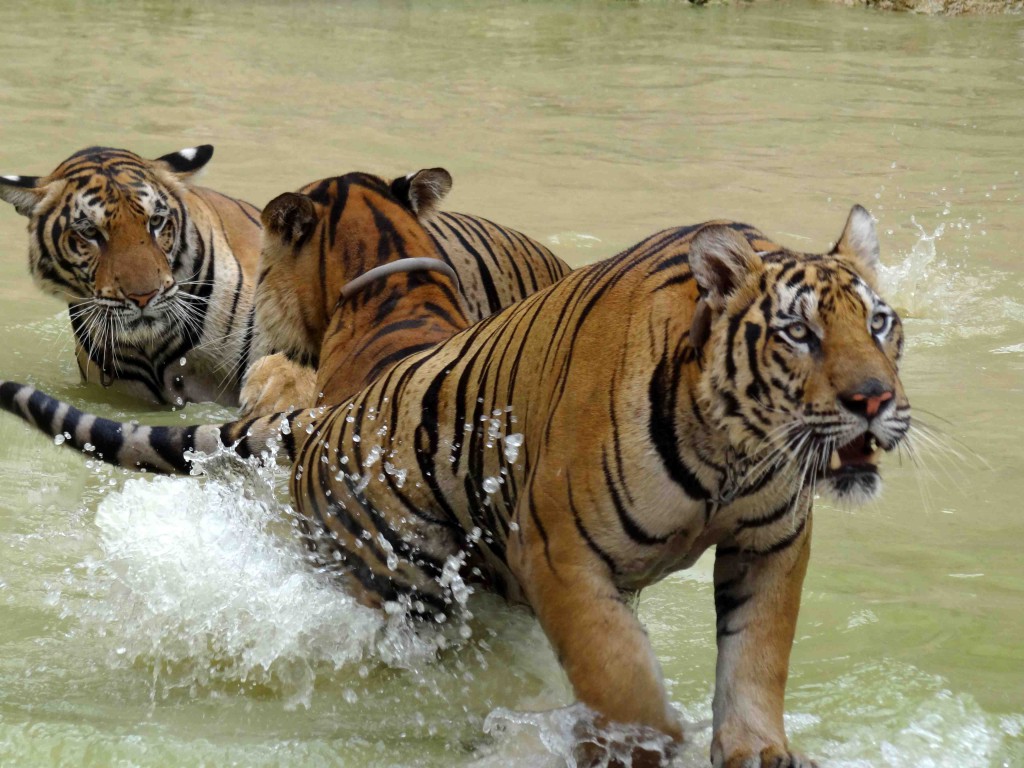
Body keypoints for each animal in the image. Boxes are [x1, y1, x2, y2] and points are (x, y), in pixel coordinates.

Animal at [2, 205, 913, 768]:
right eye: (797, 333)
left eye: (880, 323)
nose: (874, 400)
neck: (733, 452)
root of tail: (323, 419)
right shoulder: (561, 554)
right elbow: (623, 680)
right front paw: (636, 744)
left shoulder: (772, 542)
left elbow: (756, 657)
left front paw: (759, 751)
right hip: (406, 585)